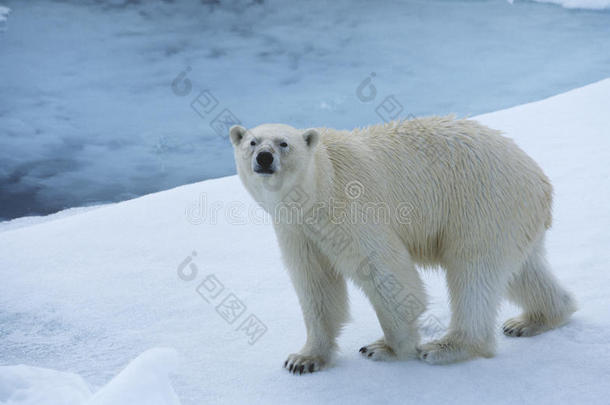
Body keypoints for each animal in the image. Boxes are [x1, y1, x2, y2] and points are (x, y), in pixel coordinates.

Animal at [228, 115, 576, 374]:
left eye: (284, 143)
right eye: (252, 142)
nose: (264, 158)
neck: (319, 189)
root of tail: (541, 183)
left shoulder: (351, 210)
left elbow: (384, 272)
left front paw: (385, 348)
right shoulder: (297, 230)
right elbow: (315, 284)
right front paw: (304, 359)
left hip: (482, 205)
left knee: (473, 272)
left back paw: (447, 347)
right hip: (512, 220)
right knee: (521, 271)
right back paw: (534, 319)